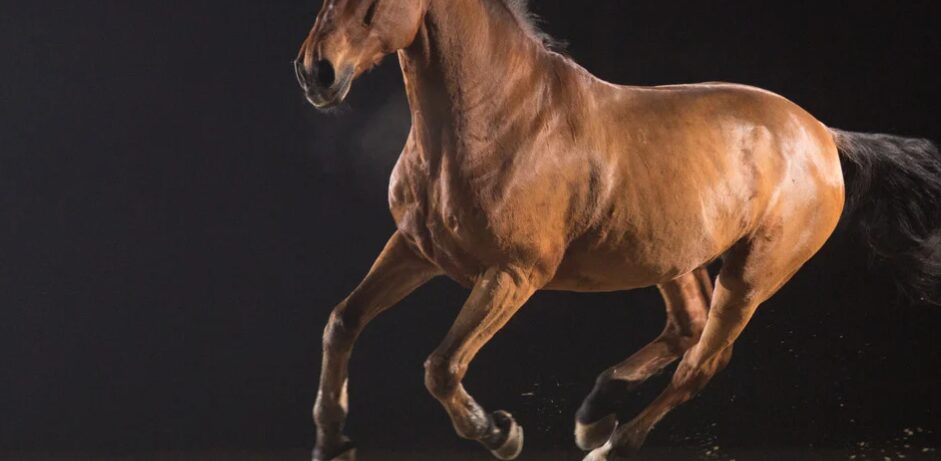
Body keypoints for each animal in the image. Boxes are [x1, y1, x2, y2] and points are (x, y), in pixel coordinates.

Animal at [293, 1, 941, 460]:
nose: (315, 72)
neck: (500, 119)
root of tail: (824, 136)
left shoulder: (513, 273)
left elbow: (442, 366)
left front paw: (500, 433)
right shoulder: (415, 248)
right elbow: (342, 321)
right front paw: (332, 442)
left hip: (752, 275)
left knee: (702, 361)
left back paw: (608, 444)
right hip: (674, 259)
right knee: (687, 327)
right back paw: (594, 411)